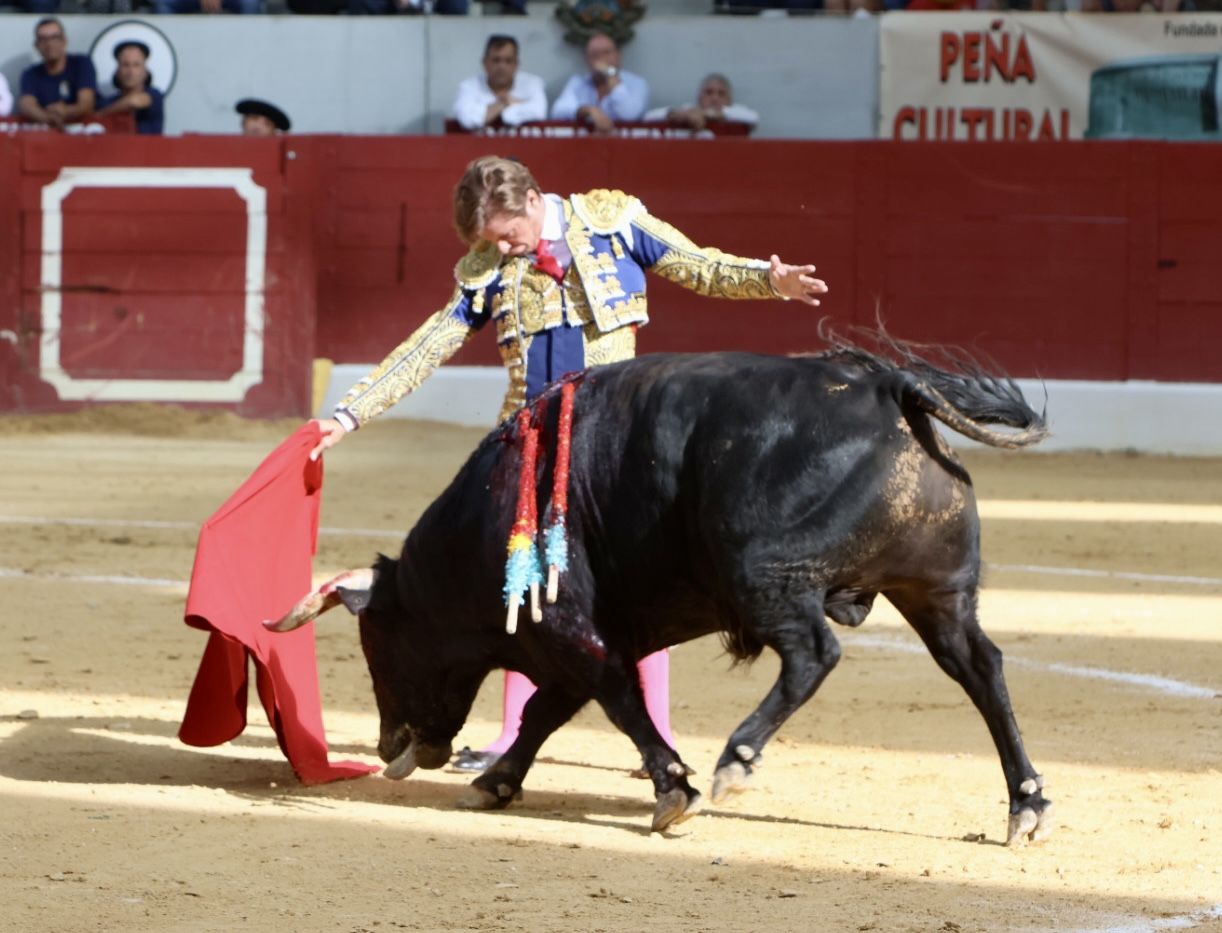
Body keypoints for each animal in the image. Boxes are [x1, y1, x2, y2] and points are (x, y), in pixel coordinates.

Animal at [272, 344, 1055, 845]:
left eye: (377, 646)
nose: (388, 745)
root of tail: (886, 387)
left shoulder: (570, 626)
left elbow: (617, 701)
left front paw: (674, 790)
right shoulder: (581, 637)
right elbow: (550, 711)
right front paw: (497, 781)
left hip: (766, 575)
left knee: (813, 654)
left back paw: (736, 761)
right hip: (936, 592)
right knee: (980, 668)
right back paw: (1027, 804)